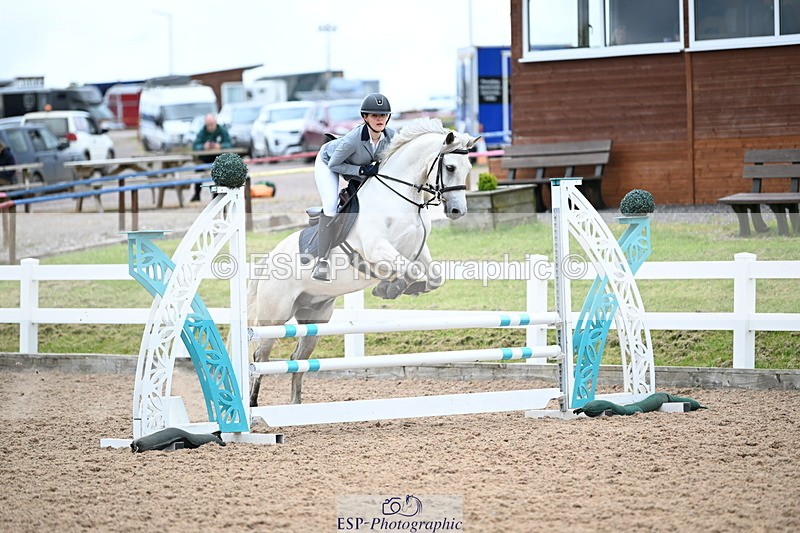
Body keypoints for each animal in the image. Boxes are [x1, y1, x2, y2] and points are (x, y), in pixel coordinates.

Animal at [247, 117, 481, 406]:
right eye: (449, 167)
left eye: (468, 167)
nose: (458, 211)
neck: (399, 197)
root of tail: (267, 261)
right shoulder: (377, 248)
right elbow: (410, 270)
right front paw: (391, 288)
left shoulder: (418, 249)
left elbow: (433, 276)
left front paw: (398, 288)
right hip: (274, 317)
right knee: (260, 357)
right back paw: (252, 405)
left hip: (315, 317)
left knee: (297, 359)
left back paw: (295, 406)